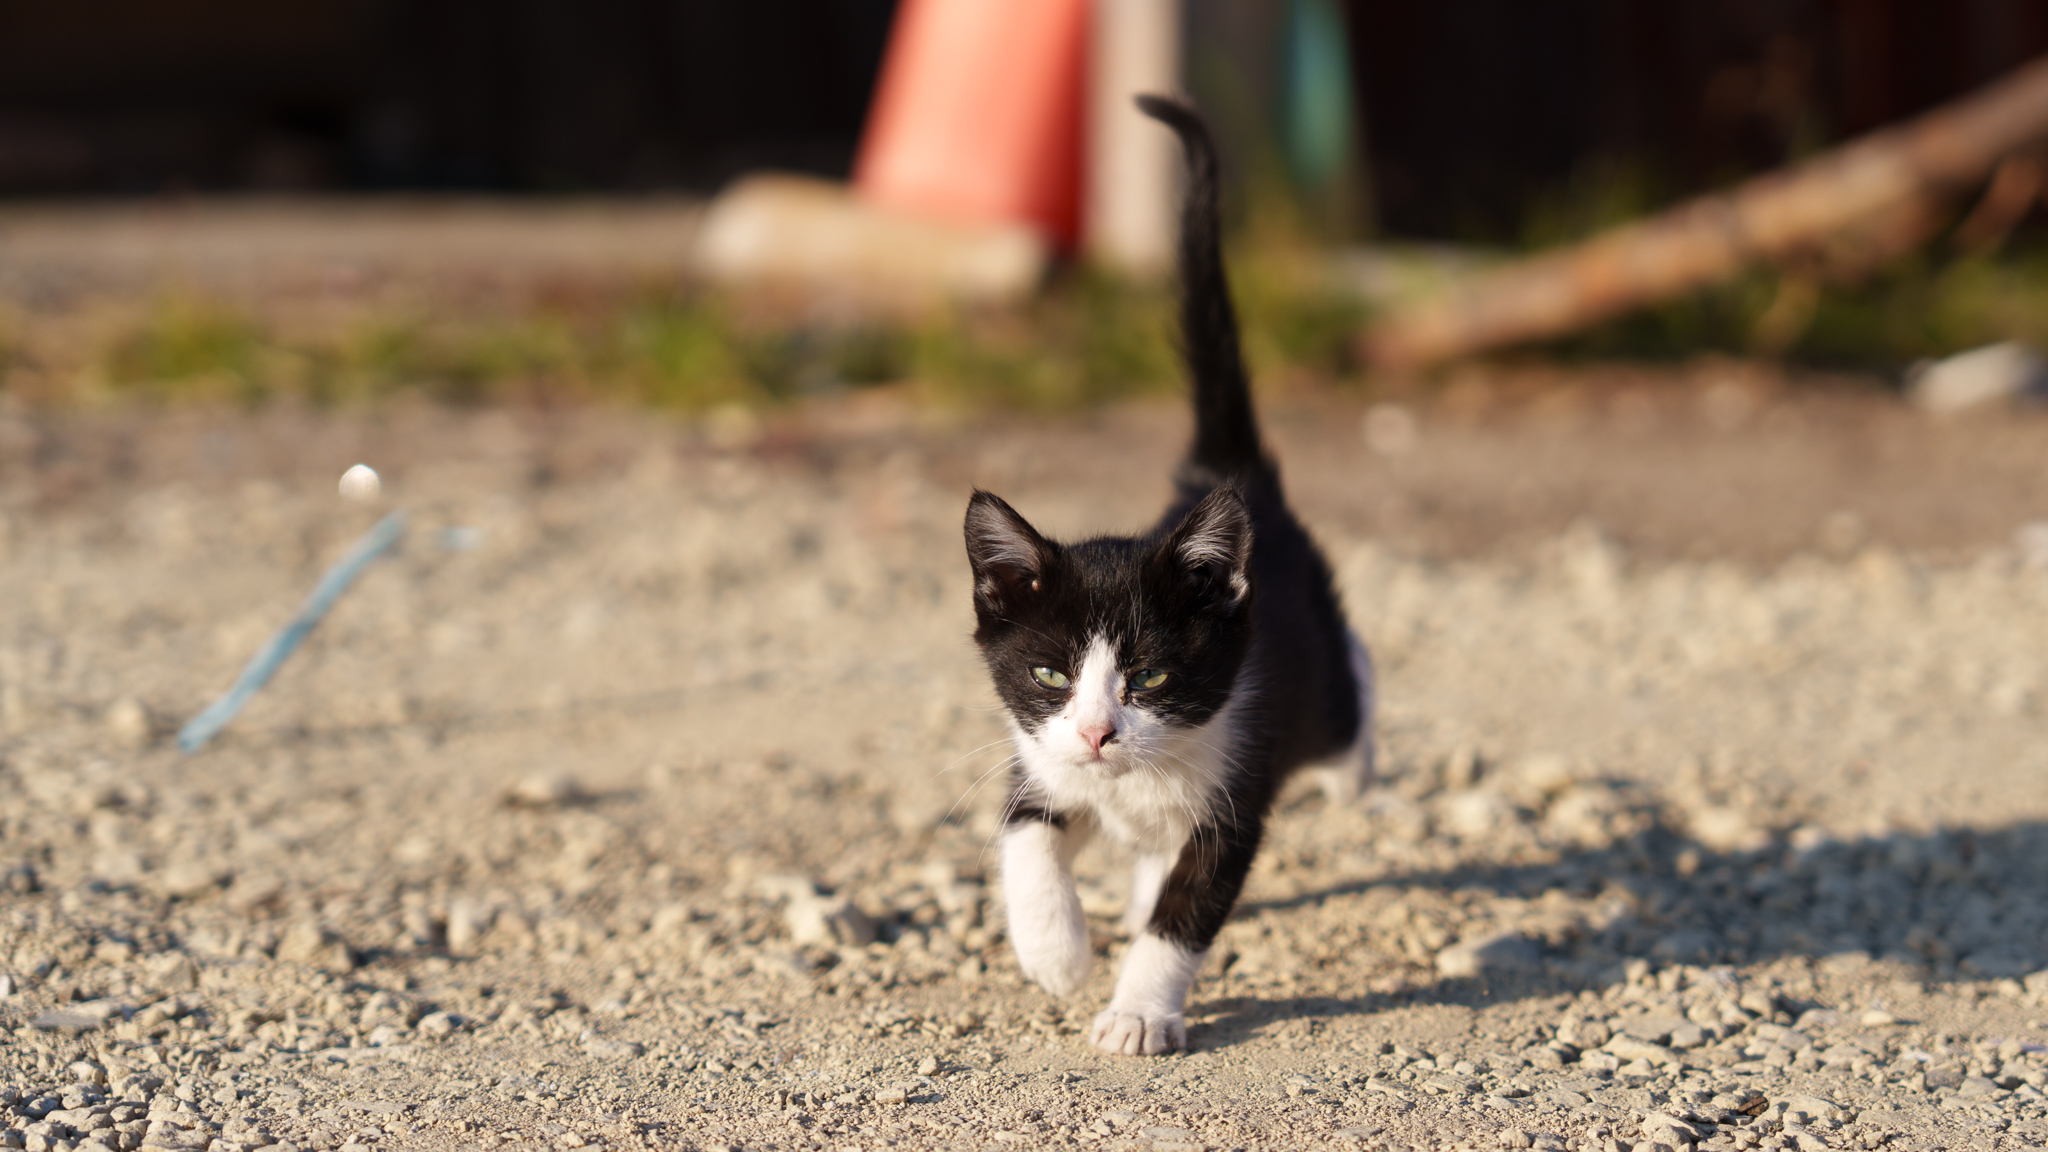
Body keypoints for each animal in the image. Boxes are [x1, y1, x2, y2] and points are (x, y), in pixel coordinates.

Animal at [958, 96, 1376, 1049]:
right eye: (1050, 675)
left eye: (1148, 677)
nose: (1097, 734)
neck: (1135, 781)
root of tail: (1229, 477)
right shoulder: (1042, 764)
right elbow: (1024, 839)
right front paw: (1056, 954)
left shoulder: (1237, 801)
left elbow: (1186, 914)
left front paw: (1137, 1014)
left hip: (1319, 701)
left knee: (1349, 704)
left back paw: (1357, 758)